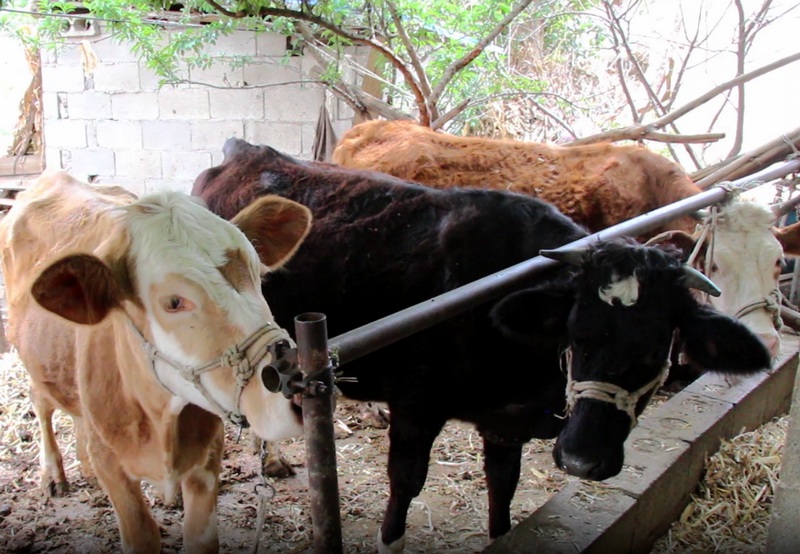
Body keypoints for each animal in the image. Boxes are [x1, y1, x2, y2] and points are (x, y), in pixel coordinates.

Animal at [0, 170, 312, 548]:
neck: (160, 417)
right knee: (41, 403)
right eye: (174, 302)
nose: (295, 385)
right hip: (30, 357)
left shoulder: (207, 458)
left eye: (256, 272)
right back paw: (53, 473)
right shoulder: (117, 474)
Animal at [191, 137, 772, 548]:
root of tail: (244, 151)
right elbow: (403, 492)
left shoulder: (505, 425)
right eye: (578, 335)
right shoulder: (416, 407)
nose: (582, 461)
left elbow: (502, 496)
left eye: (655, 350)